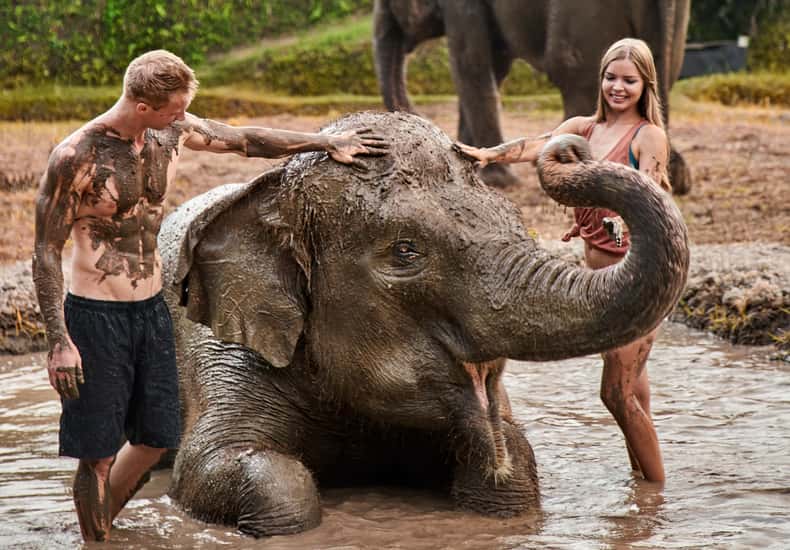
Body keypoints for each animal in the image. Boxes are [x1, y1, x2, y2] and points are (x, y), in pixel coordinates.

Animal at [158, 111, 689, 538]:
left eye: (514, 219)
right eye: (405, 251)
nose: (569, 147)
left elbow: (515, 462)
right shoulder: (221, 350)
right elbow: (213, 466)